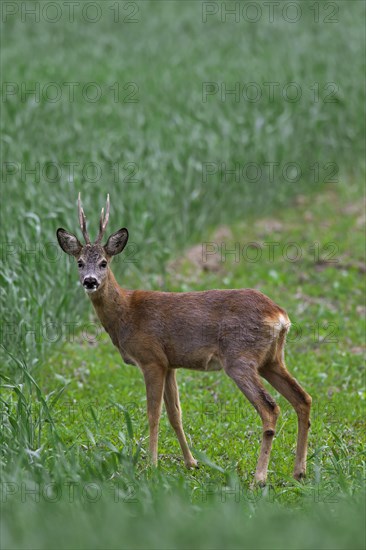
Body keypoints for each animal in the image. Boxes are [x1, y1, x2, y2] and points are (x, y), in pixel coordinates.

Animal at [57, 195, 312, 488]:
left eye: (103, 263)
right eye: (79, 262)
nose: (90, 281)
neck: (126, 314)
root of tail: (280, 315)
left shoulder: (151, 359)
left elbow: (153, 413)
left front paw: (152, 465)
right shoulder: (170, 364)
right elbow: (175, 414)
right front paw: (191, 463)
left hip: (240, 359)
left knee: (270, 408)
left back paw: (259, 477)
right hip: (272, 359)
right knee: (303, 398)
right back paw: (299, 472)